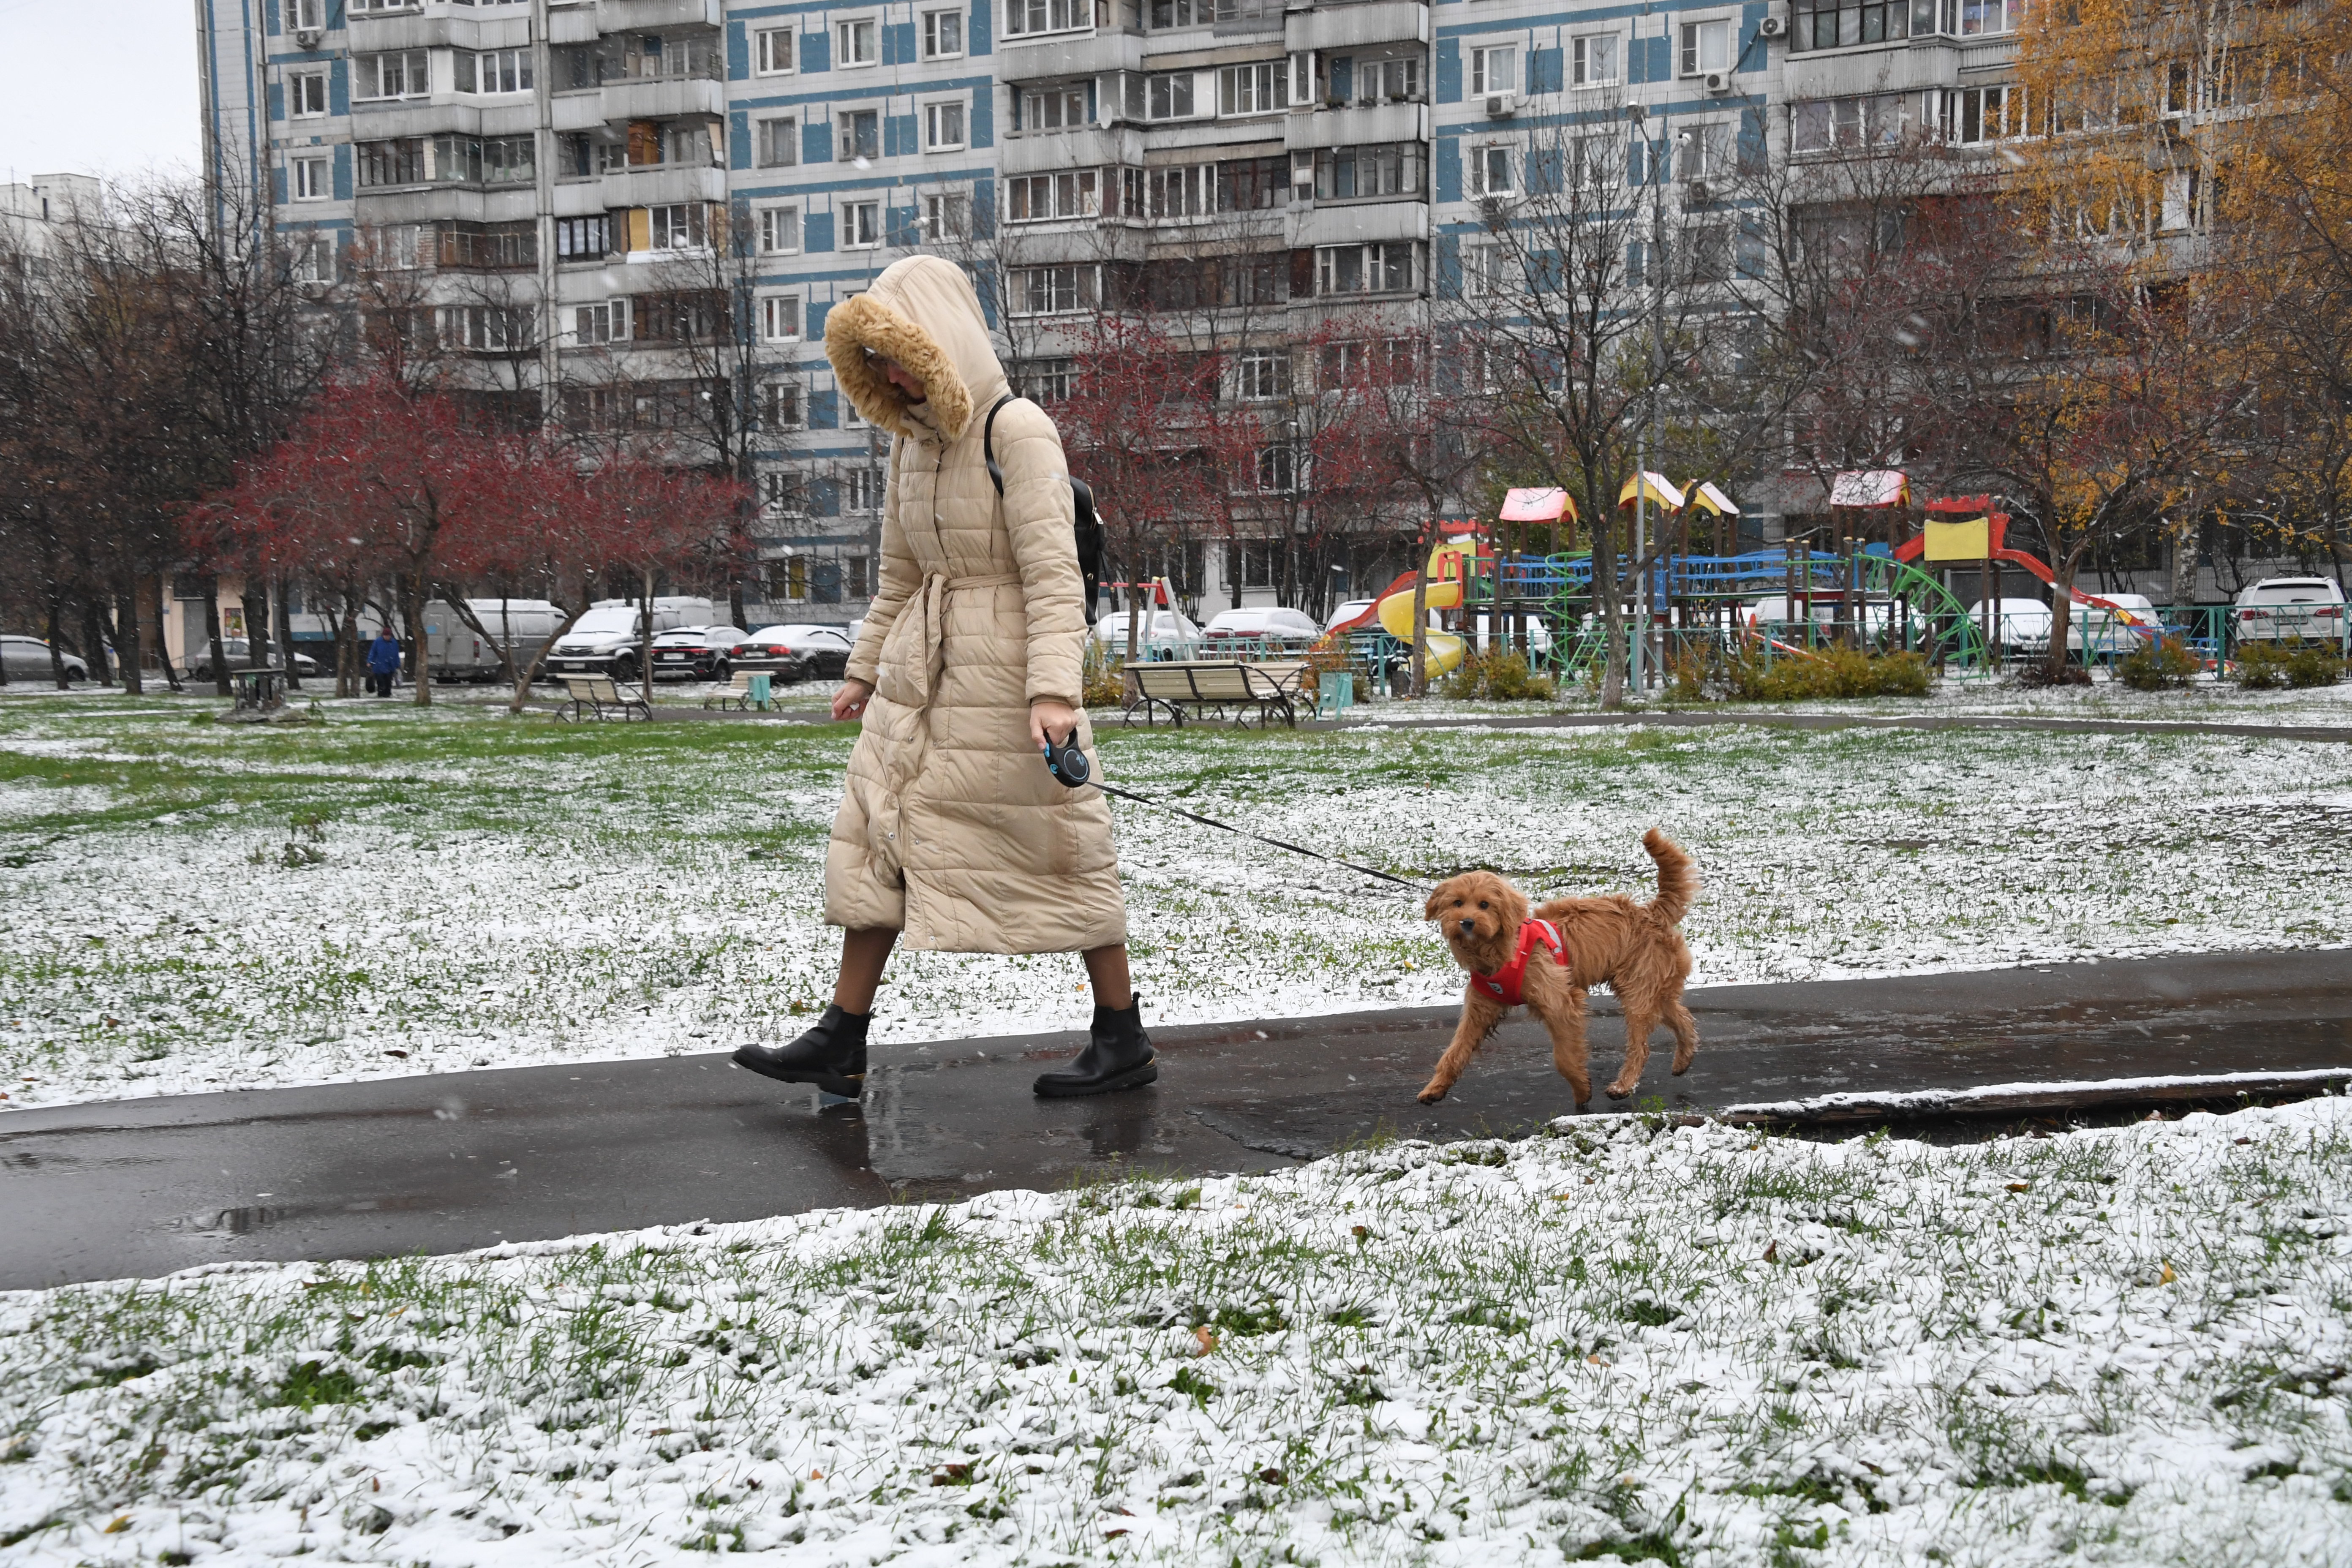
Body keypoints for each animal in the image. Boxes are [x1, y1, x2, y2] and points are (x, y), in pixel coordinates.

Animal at [1411, 832, 1693, 1114]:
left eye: (1485, 905)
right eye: (1457, 903)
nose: (1466, 922)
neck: (1502, 952)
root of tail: (1649, 912)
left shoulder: (1561, 1004)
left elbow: (1565, 1058)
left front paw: (1582, 1091)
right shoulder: (1480, 1009)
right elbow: (1455, 1051)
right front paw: (1435, 1088)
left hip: (1638, 990)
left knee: (1640, 1045)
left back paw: (1623, 1085)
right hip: (1657, 987)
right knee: (1683, 1018)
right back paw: (1684, 1059)